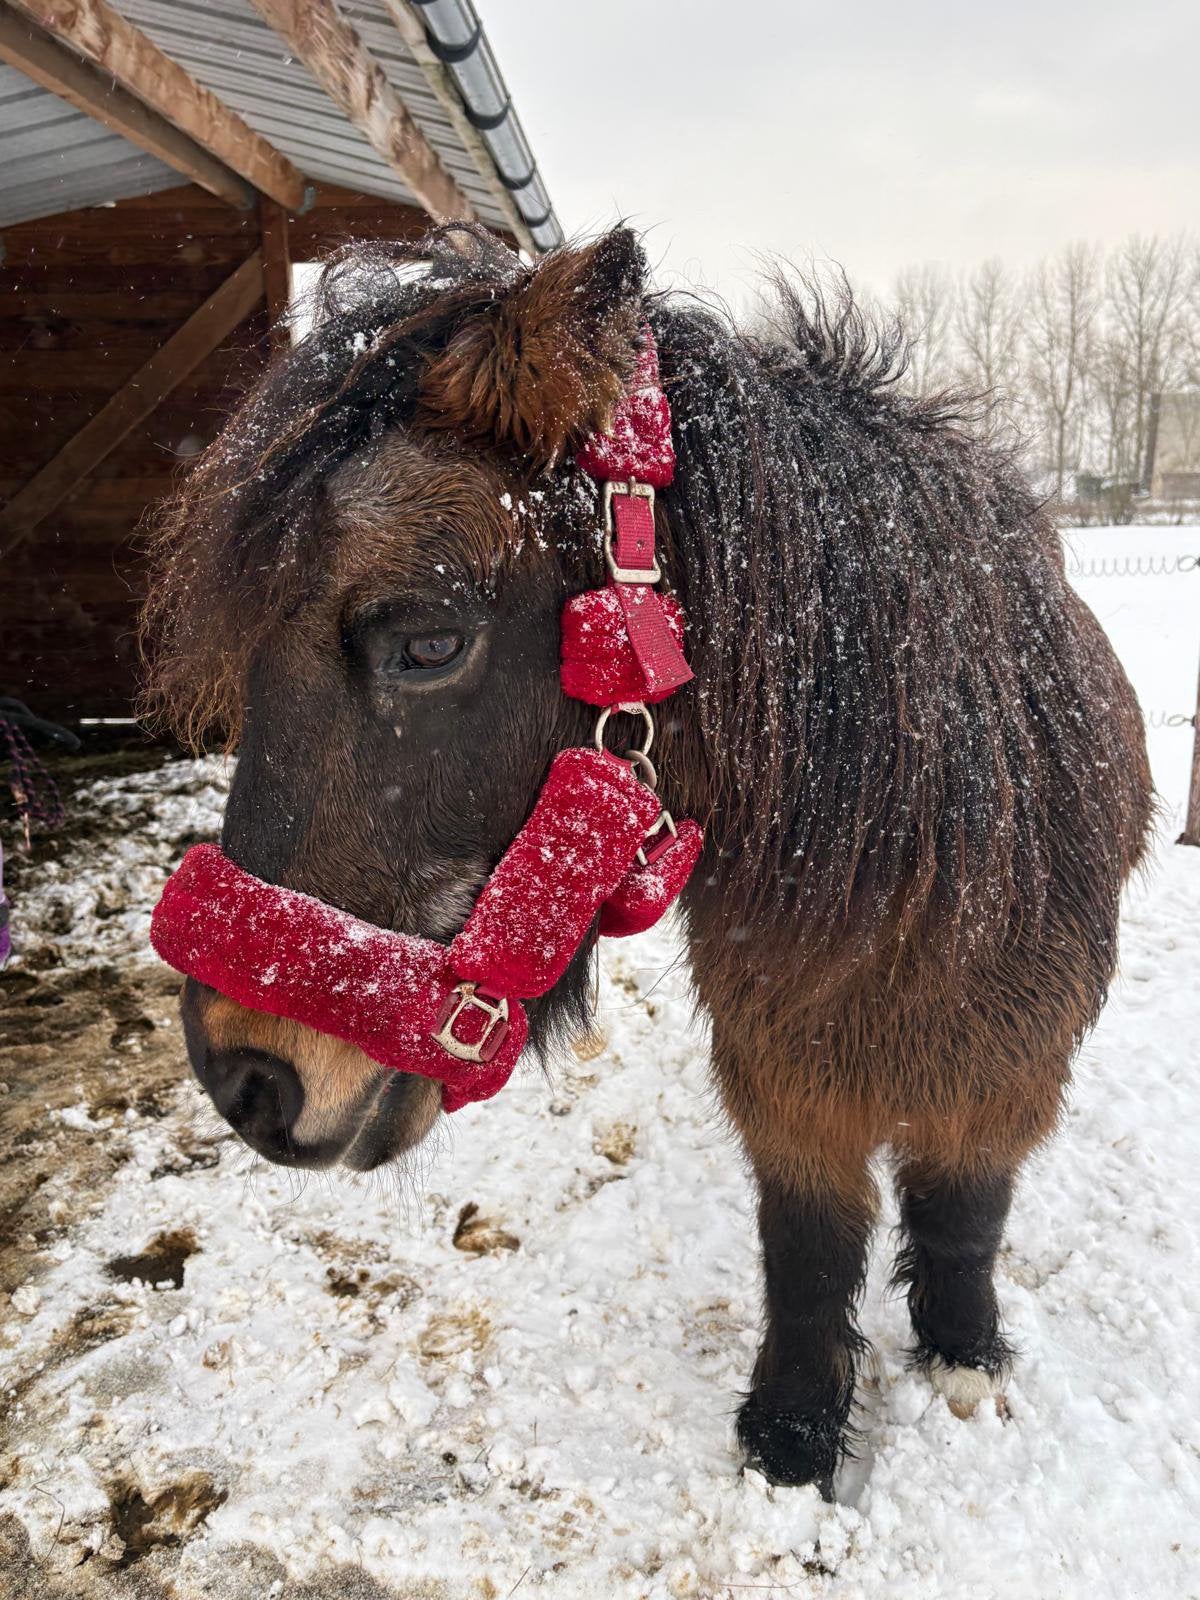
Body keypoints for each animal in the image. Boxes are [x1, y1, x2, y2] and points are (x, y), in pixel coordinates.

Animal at [140, 225, 1152, 1494]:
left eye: (427, 641)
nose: (244, 1082)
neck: (918, 854)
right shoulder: (786, 1072)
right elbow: (810, 1249)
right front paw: (795, 1430)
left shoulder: (1006, 1068)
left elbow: (964, 1215)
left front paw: (963, 1353)